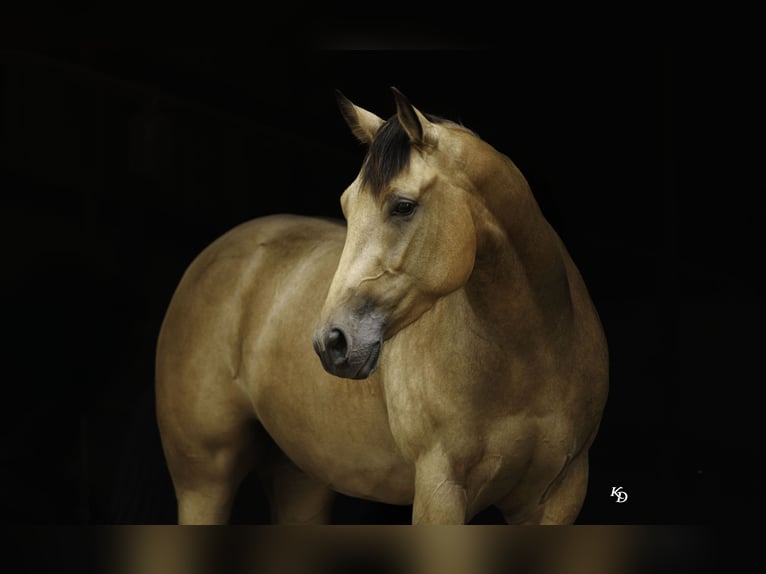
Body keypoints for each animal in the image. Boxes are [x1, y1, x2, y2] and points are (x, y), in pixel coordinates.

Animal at [155, 88, 609, 524]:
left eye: (403, 206)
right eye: (346, 205)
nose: (331, 342)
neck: (531, 358)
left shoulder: (560, 496)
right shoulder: (440, 491)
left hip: (302, 477)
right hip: (203, 482)